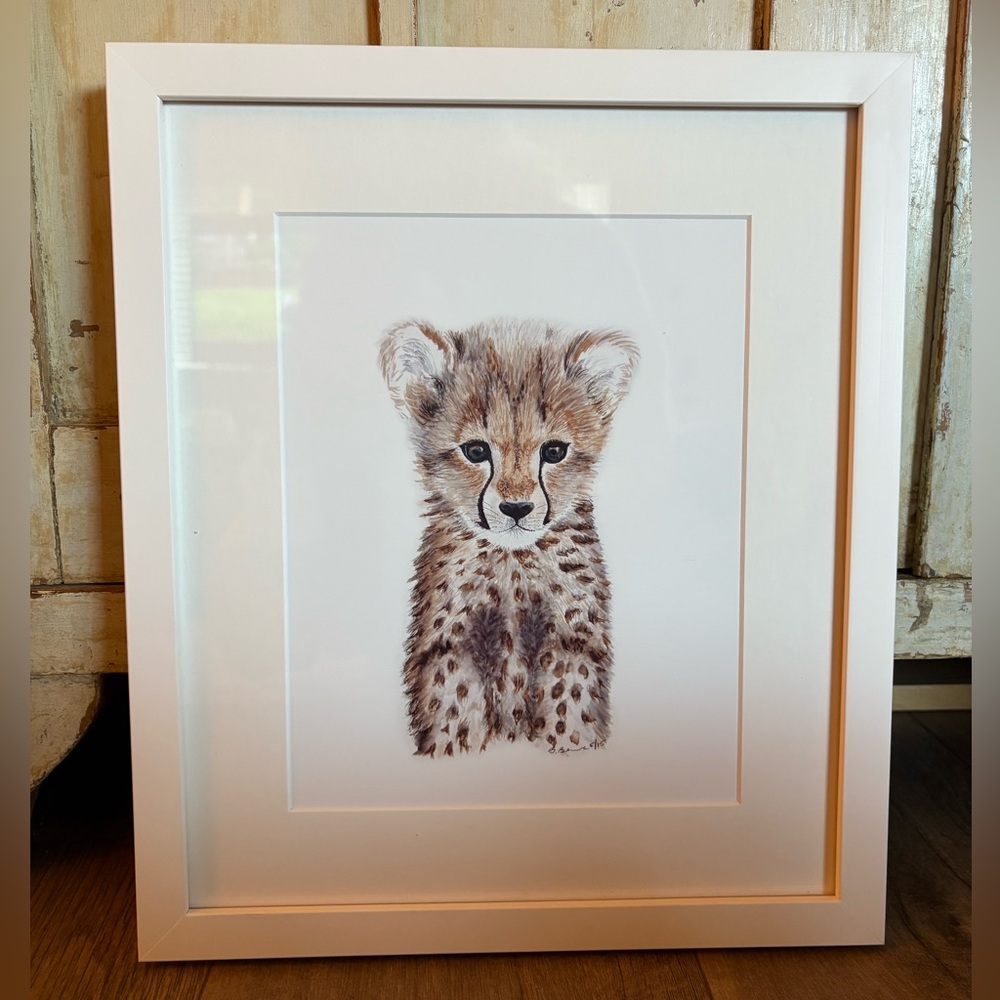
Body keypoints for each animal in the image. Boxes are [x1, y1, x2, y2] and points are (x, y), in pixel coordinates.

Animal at [378, 317, 639, 757]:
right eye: (475, 451)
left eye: (553, 452)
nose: (516, 509)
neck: (512, 563)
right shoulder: (452, 648)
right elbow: (456, 713)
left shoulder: (571, 643)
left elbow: (569, 710)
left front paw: (569, 745)